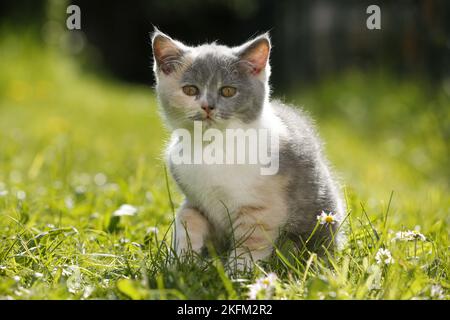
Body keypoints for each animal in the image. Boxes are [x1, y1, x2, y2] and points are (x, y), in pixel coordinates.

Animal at [151, 29, 344, 270]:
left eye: (228, 91)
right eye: (190, 90)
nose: (207, 106)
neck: (212, 146)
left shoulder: (261, 209)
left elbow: (251, 242)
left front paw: (237, 272)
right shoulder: (195, 201)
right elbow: (187, 220)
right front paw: (183, 263)